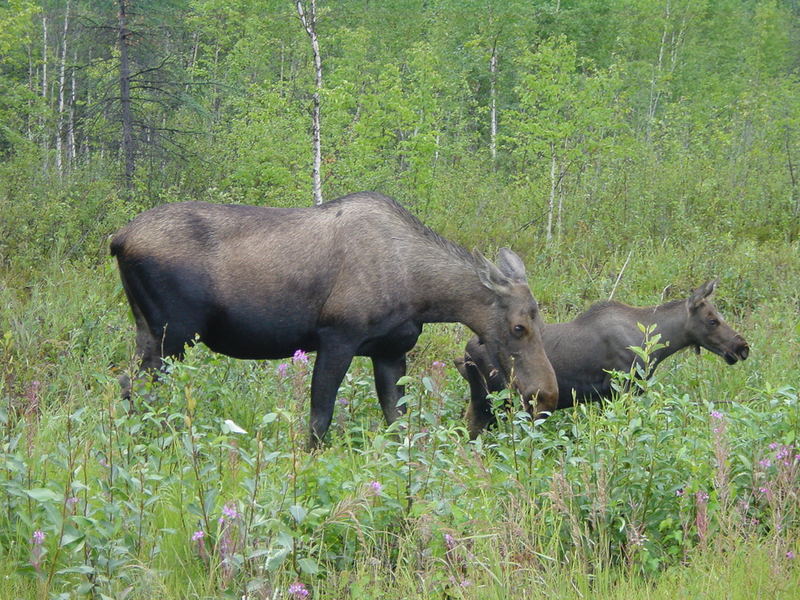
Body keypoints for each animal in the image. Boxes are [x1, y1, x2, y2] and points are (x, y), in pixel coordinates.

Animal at [112, 192, 560, 446]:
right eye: (518, 326)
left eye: (539, 322)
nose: (546, 395)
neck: (422, 294)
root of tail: (118, 239)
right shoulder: (338, 338)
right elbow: (319, 419)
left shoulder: (390, 352)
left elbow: (398, 421)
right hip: (174, 334)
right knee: (143, 391)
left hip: (149, 331)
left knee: (127, 386)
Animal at [456, 278, 752, 438]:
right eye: (712, 320)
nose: (742, 347)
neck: (656, 345)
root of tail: (466, 353)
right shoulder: (624, 389)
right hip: (499, 401)